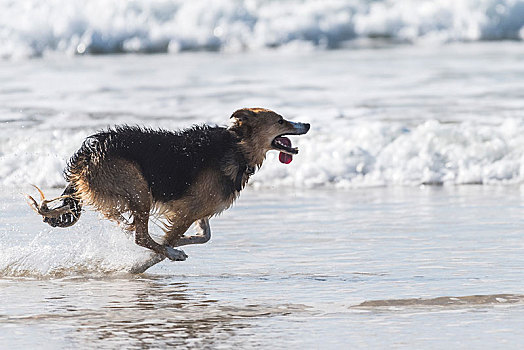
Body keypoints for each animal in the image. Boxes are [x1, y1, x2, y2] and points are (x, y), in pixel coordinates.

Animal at [26, 108, 310, 272]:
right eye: (281, 120)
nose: (306, 124)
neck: (237, 147)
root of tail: (87, 153)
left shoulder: (198, 209)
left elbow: (204, 236)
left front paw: (181, 241)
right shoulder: (188, 209)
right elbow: (171, 240)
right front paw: (155, 258)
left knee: (126, 224)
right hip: (139, 188)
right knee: (140, 235)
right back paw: (162, 250)